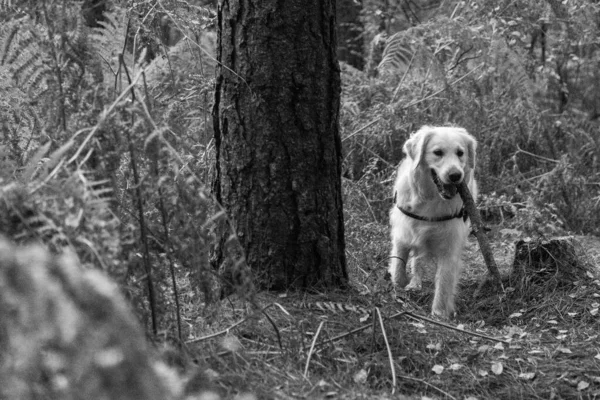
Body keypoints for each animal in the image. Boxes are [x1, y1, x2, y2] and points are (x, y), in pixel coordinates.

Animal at [390, 125, 478, 318]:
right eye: (438, 152)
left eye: (460, 153)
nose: (455, 175)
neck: (432, 199)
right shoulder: (403, 234)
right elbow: (399, 266)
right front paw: (398, 286)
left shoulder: (449, 248)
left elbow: (444, 284)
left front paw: (439, 314)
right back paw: (414, 284)